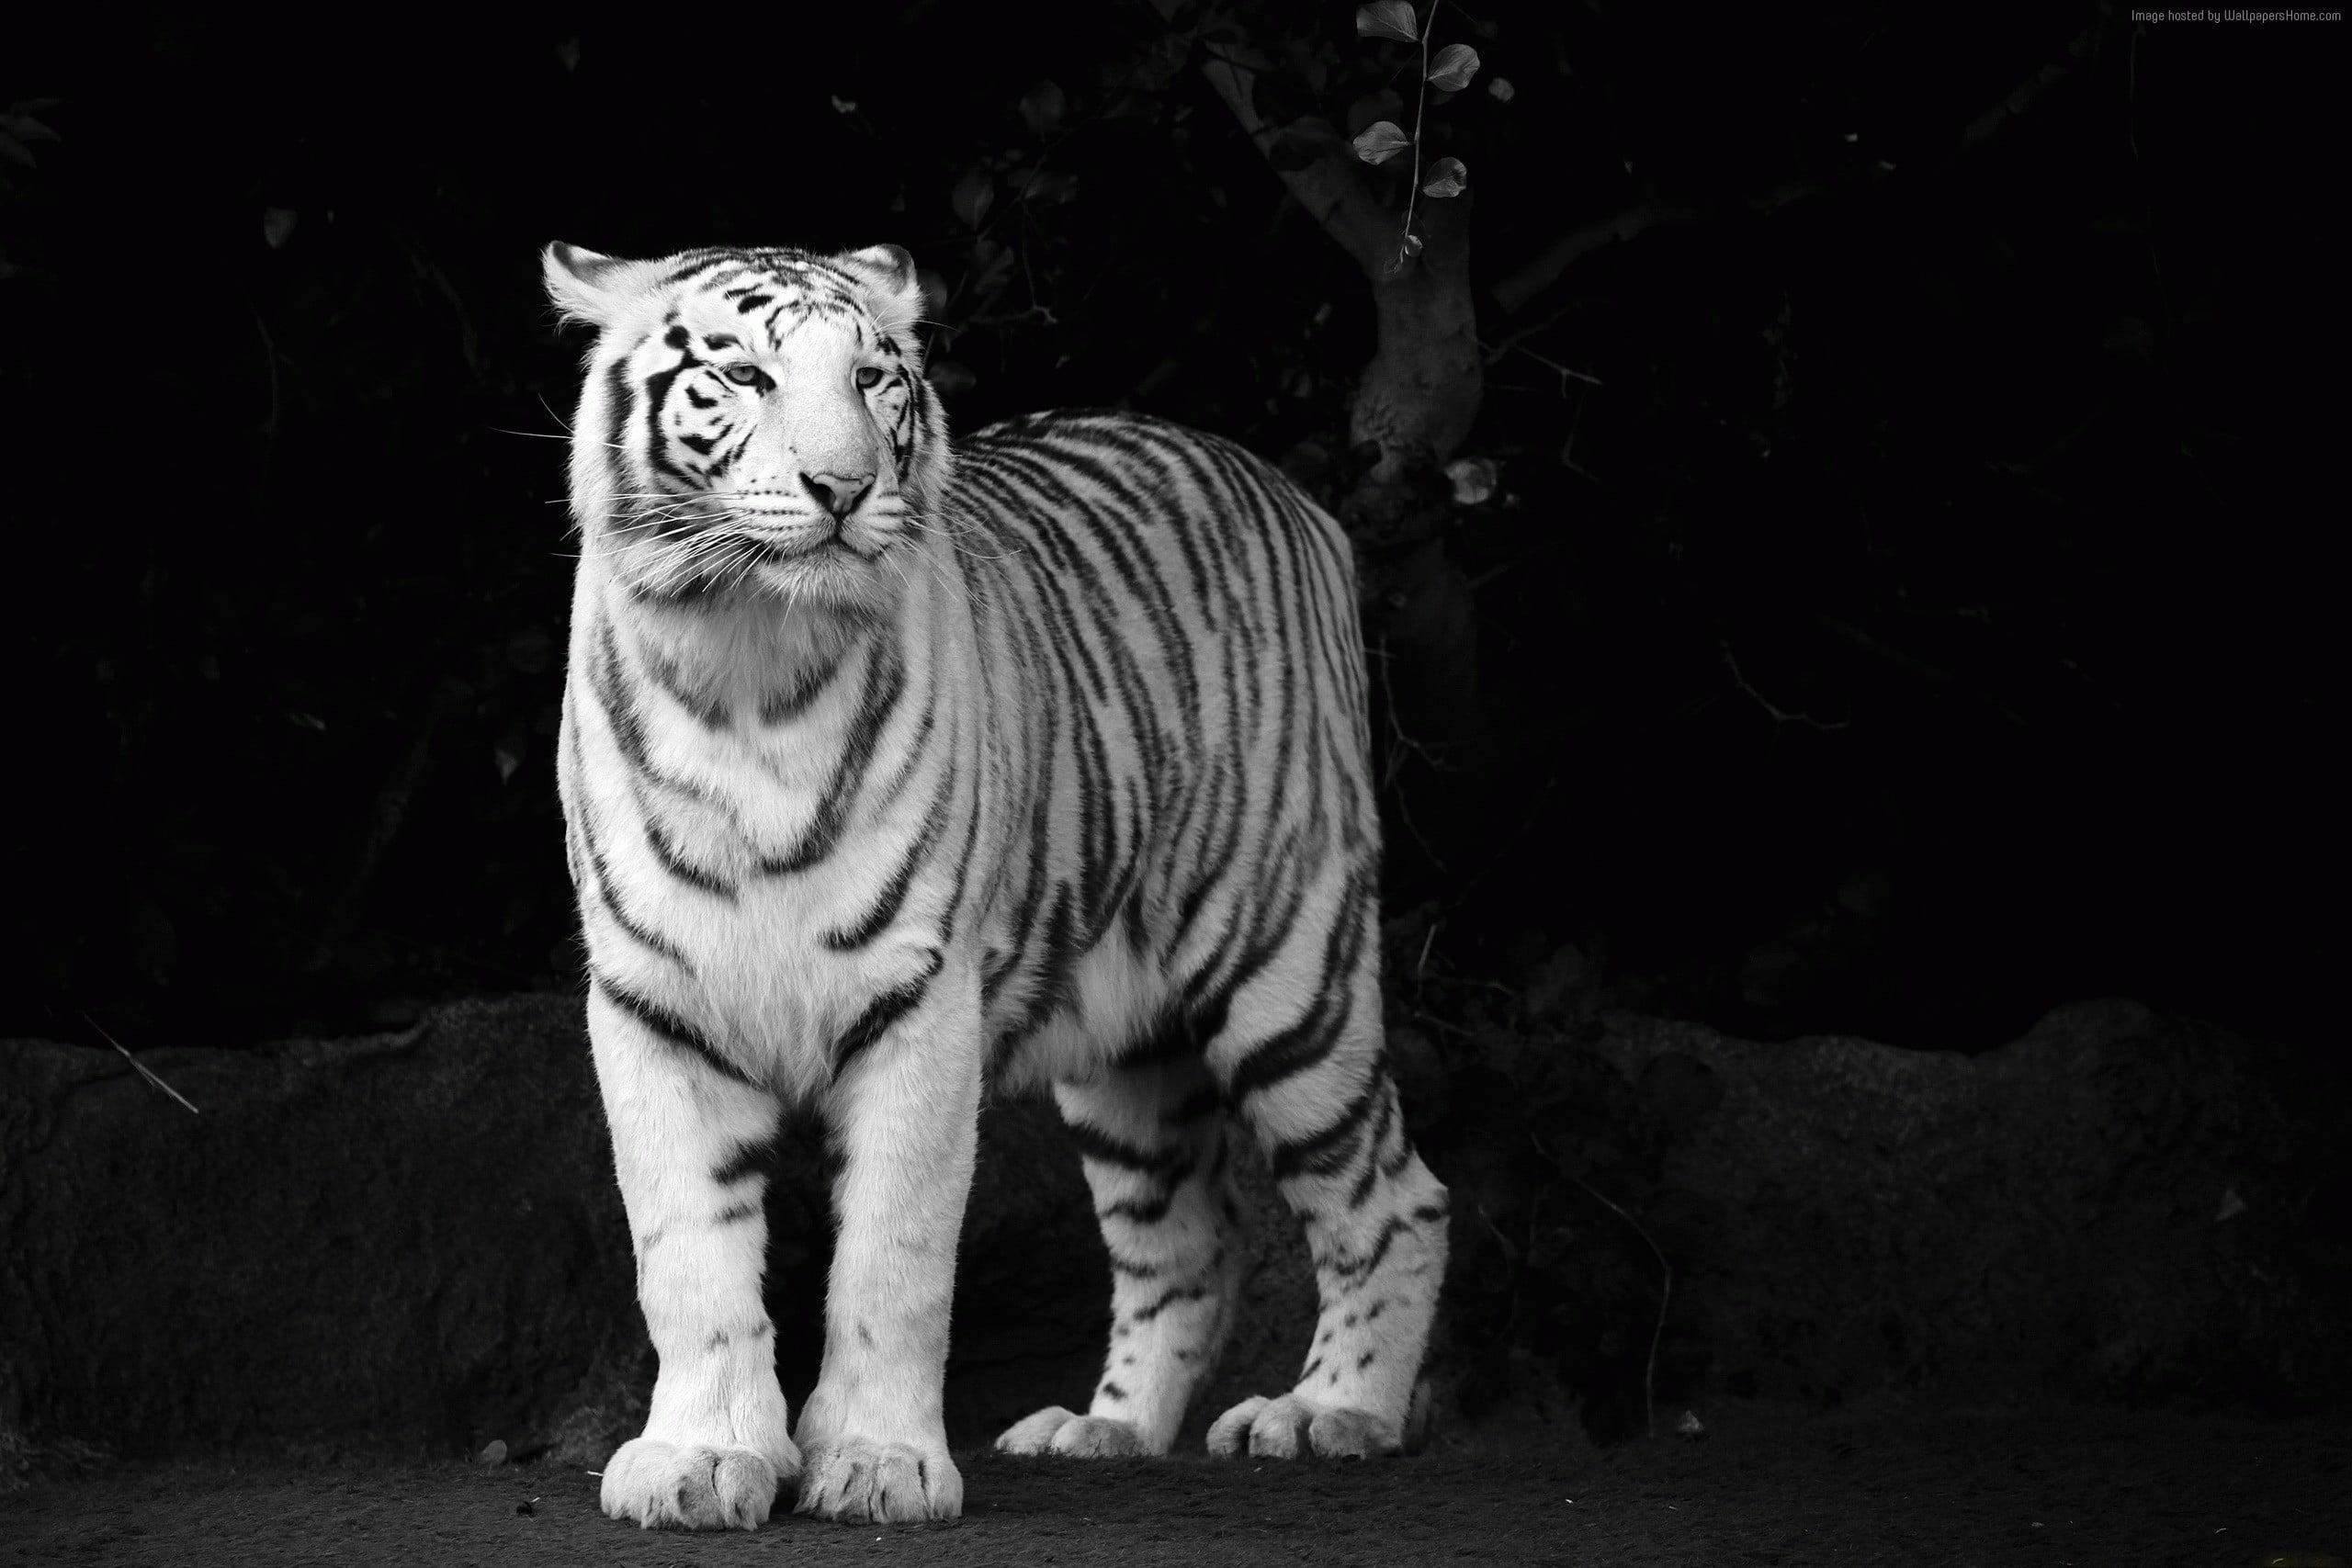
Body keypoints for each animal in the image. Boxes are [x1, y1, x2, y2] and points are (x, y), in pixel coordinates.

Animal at [542, 239, 1451, 1531]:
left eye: (874, 379)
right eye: (744, 375)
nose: (841, 487)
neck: (750, 667)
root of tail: (1285, 490)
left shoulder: (920, 999)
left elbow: (894, 1255)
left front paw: (877, 1463)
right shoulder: (651, 1004)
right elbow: (688, 1255)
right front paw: (699, 1459)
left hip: (1288, 970)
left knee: (1395, 1197)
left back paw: (1329, 1413)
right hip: (1126, 1052)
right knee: (1188, 1243)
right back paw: (1104, 1430)